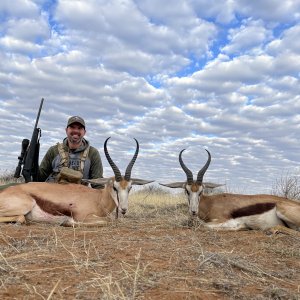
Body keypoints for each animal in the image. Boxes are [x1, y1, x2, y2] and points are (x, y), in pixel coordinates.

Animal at [0, 137, 152, 226]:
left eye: (130, 187)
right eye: (114, 187)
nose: (124, 209)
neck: (98, 199)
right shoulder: (83, 216)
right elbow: (107, 220)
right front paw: (67, 222)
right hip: (25, 205)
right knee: (20, 218)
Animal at [161, 149, 300, 233]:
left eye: (201, 191)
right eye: (186, 190)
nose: (193, 211)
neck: (210, 204)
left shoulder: (224, 221)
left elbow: (203, 225)